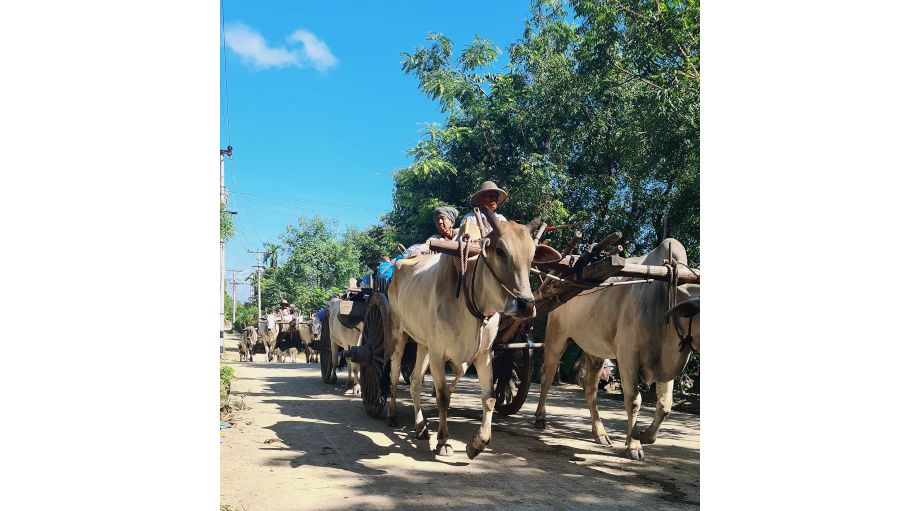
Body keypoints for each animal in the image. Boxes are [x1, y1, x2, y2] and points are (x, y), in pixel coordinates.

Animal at [386, 207, 561, 458]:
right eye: (500, 250)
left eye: (532, 255)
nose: (526, 304)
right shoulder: (439, 355)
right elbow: (443, 397)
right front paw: (444, 441)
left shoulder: (483, 355)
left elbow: (490, 399)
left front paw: (477, 443)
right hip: (398, 334)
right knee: (393, 375)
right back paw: (391, 414)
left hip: (423, 344)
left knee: (415, 382)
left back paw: (420, 427)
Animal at [534, 237, 700, 461]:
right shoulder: (628, 355)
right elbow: (633, 400)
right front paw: (634, 444)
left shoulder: (667, 361)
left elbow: (665, 404)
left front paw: (645, 436)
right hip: (556, 336)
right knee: (547, 376)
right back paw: (540, 418)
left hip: (594, 350)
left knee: (590, 388)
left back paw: (600, 433)